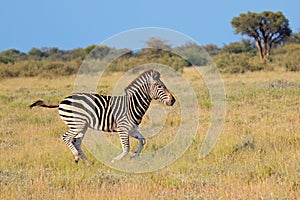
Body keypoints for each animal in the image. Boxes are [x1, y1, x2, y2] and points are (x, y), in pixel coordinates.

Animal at [29, 69, 175, 163]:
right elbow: (126, 148)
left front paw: (134, 156)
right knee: (66, 138)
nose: (173, 100)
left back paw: (87, 161)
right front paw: (114, 160)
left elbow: (143, 140)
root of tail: (61, 101)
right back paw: (76, 157)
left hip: (82, 126)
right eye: (160, 86)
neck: (132, 104)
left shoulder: (132, 129)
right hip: (77, 124)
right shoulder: (122, 129)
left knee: (76, 142)